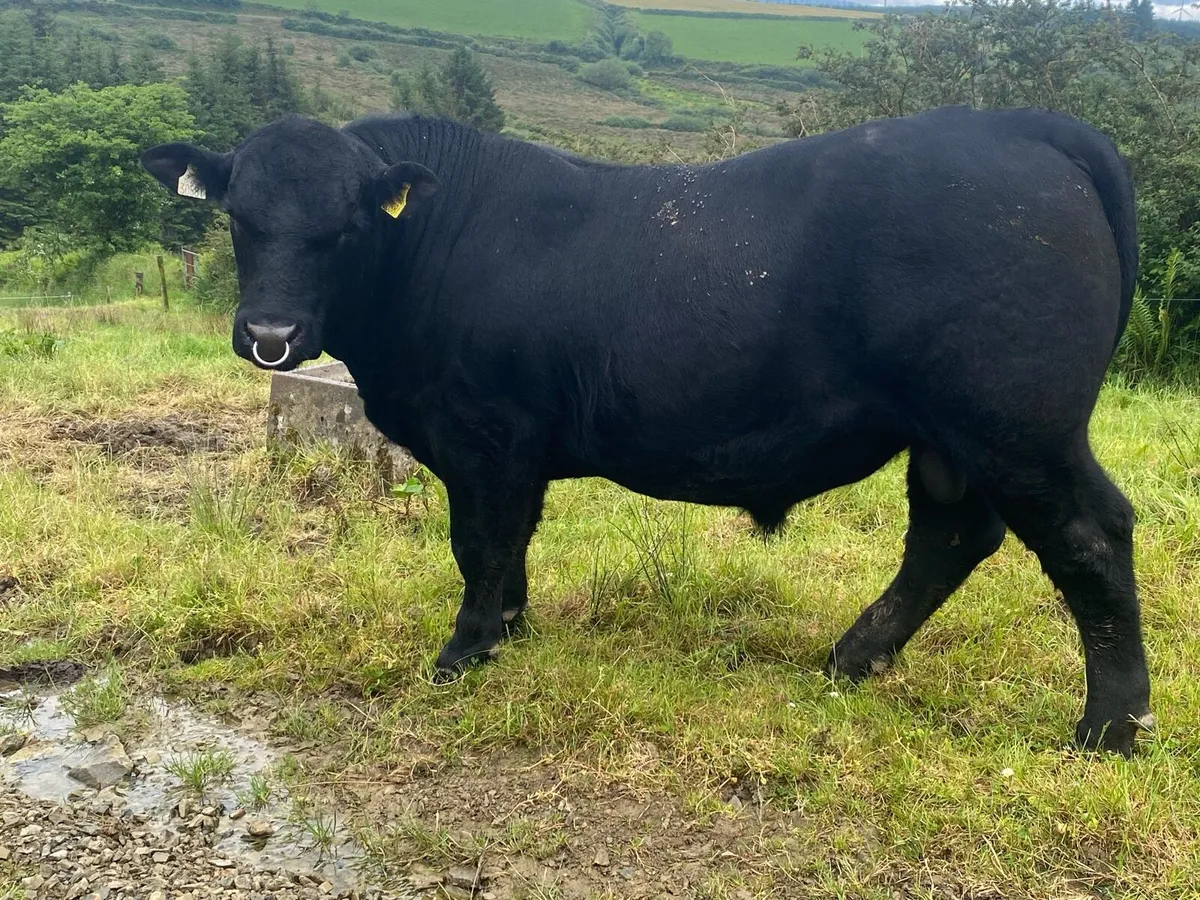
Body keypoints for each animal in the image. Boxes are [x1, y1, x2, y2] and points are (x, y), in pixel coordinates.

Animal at [142, 105, 1153, 756]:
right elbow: (512, 545)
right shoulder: (514, 449)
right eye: (238, 217)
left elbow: (480, 543)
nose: (272, 335)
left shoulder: (484, 434)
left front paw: (463, 652)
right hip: (952, 435)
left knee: (1088, 537)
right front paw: (508, 630)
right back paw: (850, 660)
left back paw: (1110, 729)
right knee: (950, 534)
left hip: (1018, 423)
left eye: (348, 224)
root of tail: (1024, 125)